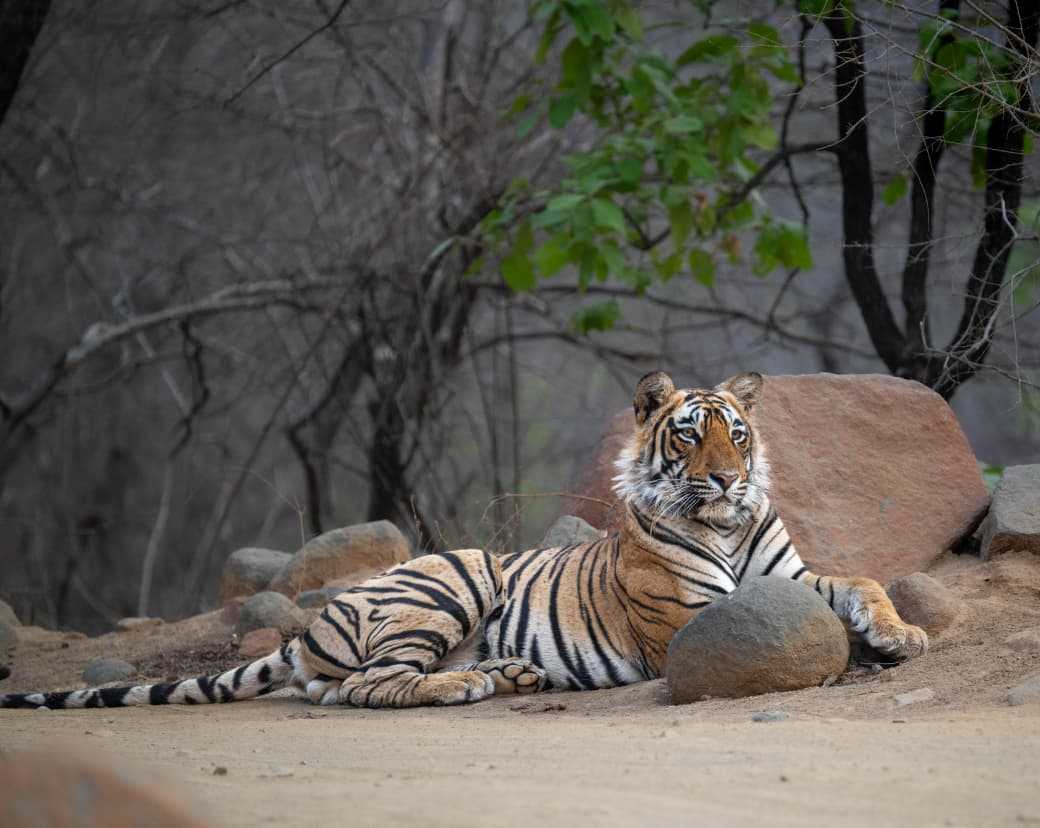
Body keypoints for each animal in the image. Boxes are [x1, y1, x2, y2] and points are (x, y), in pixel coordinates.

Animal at [0, 370, 927, 710]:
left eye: (737, 434)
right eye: (690, 437)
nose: (730, 481)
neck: (727, 528)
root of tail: (313, 624)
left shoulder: (789, 575)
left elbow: (859, 584)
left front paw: (900, 633)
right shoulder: (687, 618)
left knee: (339, 691)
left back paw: (507, 673)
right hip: (452, 577)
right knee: (366, 685)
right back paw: (467, 685)